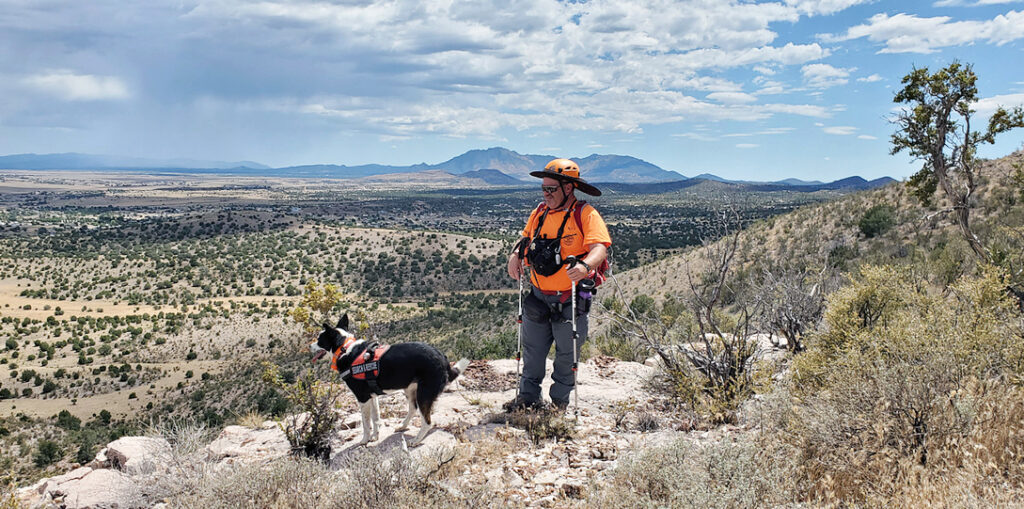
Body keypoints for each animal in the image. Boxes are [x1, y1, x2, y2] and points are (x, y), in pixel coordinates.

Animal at [309, 313, 468, 444]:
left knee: (427, 421)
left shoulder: (362, 398)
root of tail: (442, 358)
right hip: (410, 390)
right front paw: (375, 436)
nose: (309, 346)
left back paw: (416, 440)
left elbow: (365, 423)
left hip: (424, 393)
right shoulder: (372, 396)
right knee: (413, 409)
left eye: (319, 339)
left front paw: (364, 440)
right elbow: (376, 418)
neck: (344, 348)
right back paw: (403, 426)